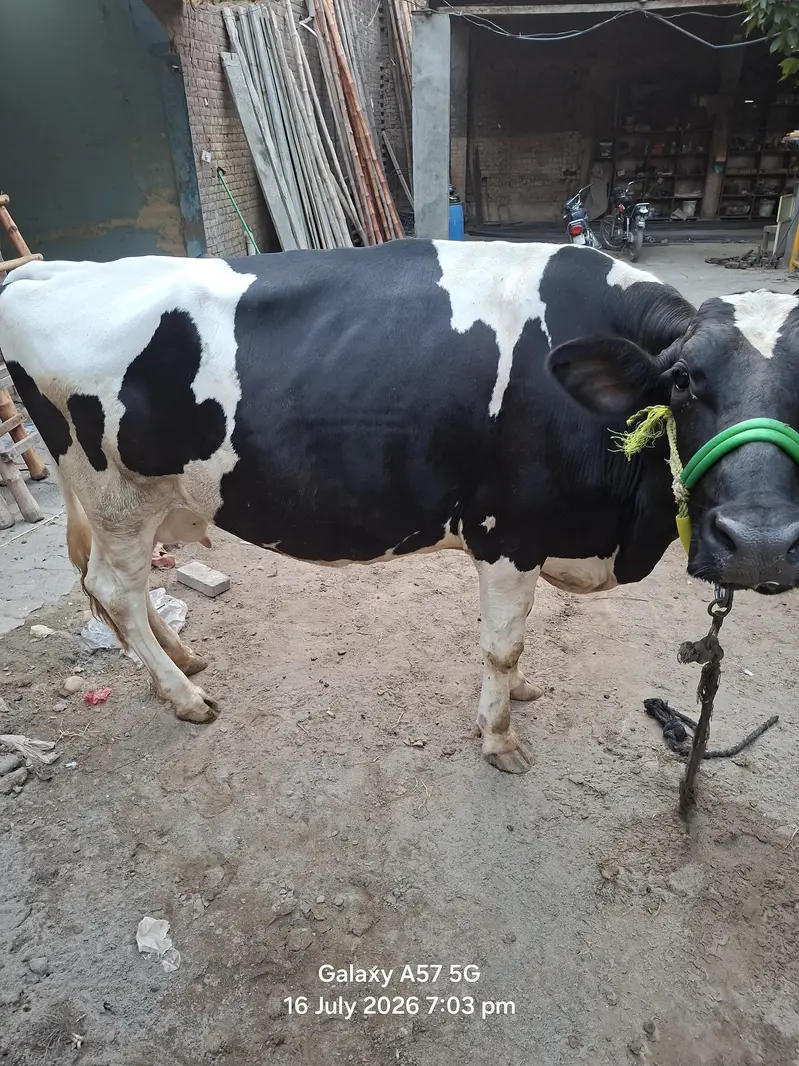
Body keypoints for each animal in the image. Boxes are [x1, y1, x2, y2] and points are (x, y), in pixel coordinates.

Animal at [1, 242, 797, 775]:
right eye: (683, 381)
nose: (758, 542)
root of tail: (52, 270)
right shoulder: (508, 532)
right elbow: (502, 645)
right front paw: (499, 738)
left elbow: (516, 645)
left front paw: (519, 694)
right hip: (117, 492)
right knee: (115, 591)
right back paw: (185, 697)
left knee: (119, 592)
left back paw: (184, 661)